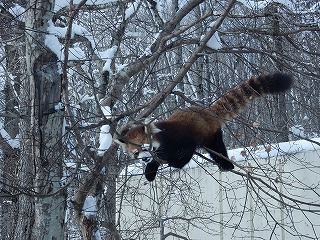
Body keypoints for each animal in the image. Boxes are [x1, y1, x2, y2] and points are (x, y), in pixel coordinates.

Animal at [116, 72, 294, 181]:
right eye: (135, 152)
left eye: (146, 147)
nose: (144, 158)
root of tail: (206, 110)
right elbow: (155, 162)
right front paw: (149, 172)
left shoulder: (179, 139)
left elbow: (185, 152)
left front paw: (175, 164)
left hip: (211, 134)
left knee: (217, 148)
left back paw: (226, 164)